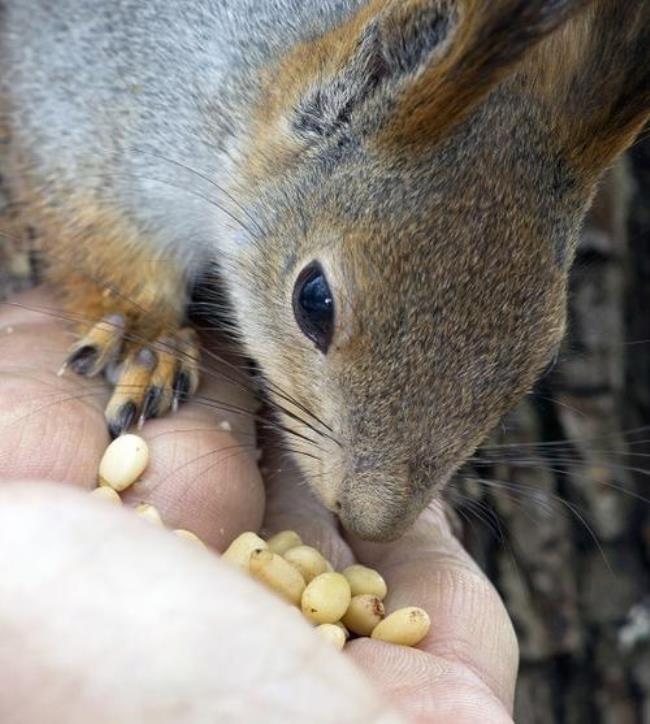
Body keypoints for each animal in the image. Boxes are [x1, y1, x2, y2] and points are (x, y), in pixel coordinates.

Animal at [1, 0, 648, 540]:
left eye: (544, 357)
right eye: (313, 300)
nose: (372, 523)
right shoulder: (81, 104)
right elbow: (94, 238)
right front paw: (146, 339)